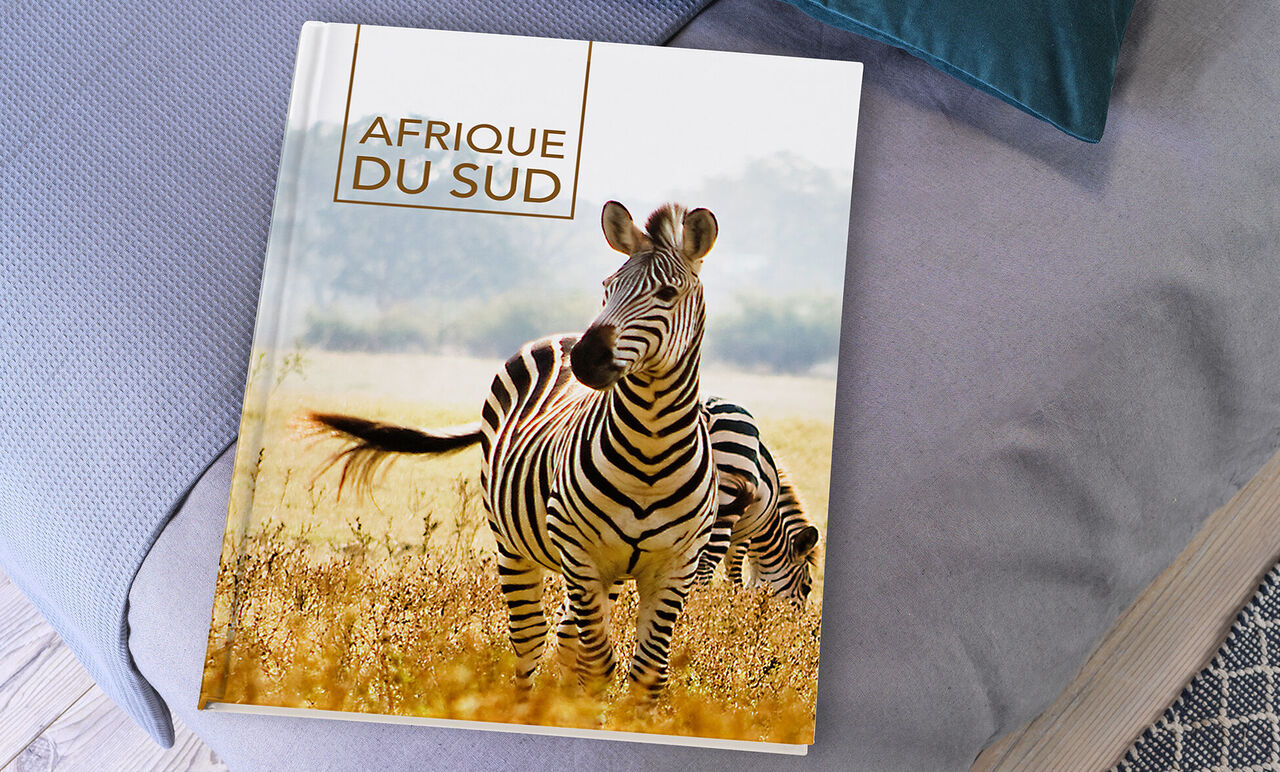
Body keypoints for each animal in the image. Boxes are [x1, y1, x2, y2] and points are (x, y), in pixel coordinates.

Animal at [305, 201, 720, 696]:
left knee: (564, 638)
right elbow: (599, 665)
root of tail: (560, 337)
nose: (585, 359)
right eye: (607, 288)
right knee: (532, 638)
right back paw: (524, 704)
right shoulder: (581, 554)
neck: (650, 451)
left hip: (602, 573)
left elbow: (647, 675)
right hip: (516, 546)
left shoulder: (676, 566)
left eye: (667, 293)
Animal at [697, 396, 821, 605]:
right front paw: (733, 605)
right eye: (806, 587)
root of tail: (707, 409)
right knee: (705, 568)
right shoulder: (743, 536)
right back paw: (699, 605)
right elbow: (735, 576)